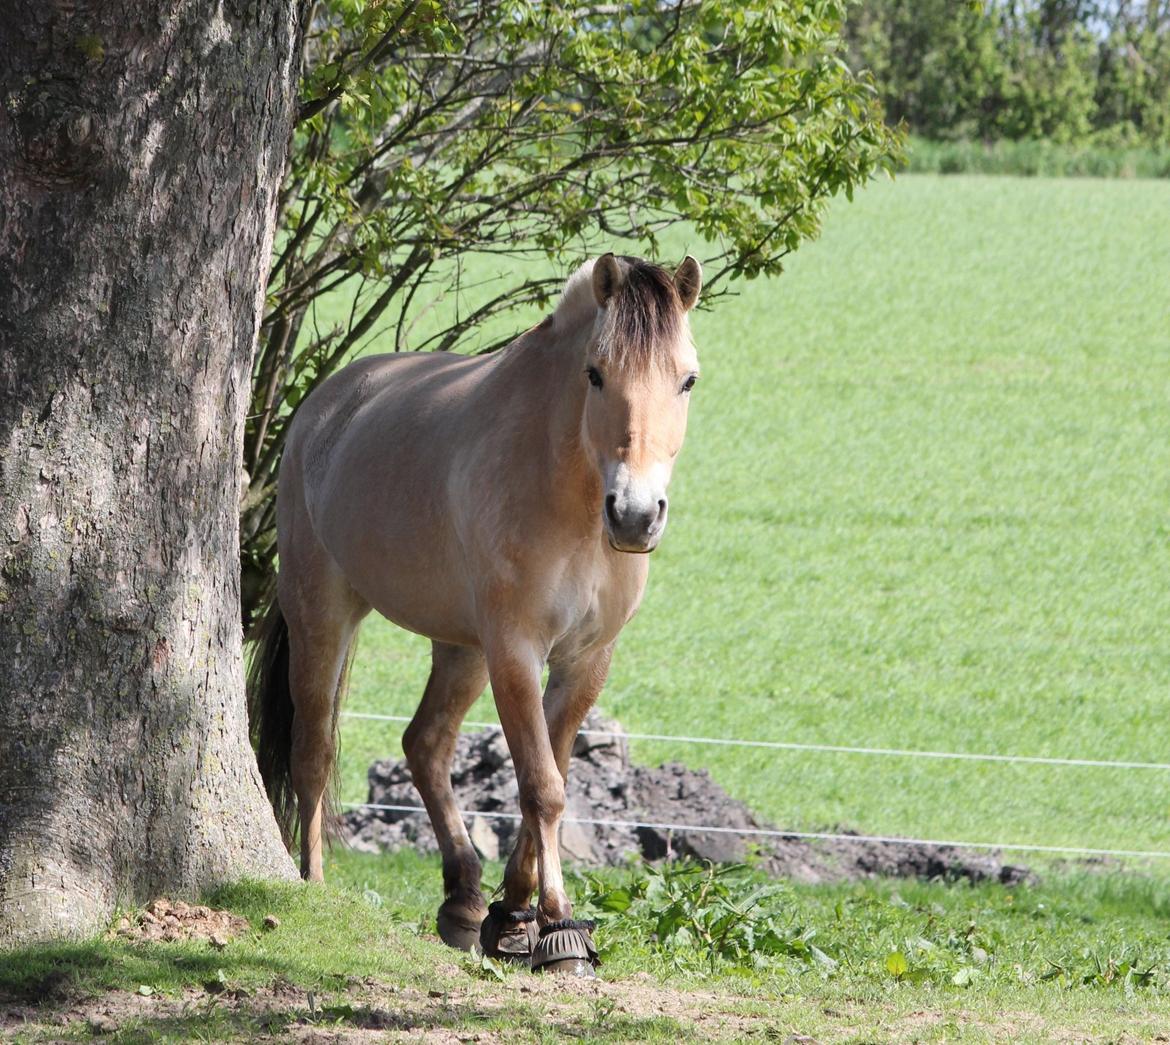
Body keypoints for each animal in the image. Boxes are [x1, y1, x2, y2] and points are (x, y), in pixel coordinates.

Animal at [250, 250, 697, 968]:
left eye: (686, 380)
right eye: (595, 374)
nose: (634, 515)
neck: (567, 494)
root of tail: (328, 403)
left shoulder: (585, 661)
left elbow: (549, 776)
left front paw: (511, 915)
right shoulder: (514, 649)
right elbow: (542, 785)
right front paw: (559, 926)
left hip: (460, 649)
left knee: (425, 744)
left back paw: (462, 898)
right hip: (324, 614)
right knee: (312, 752)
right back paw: (313, 883)